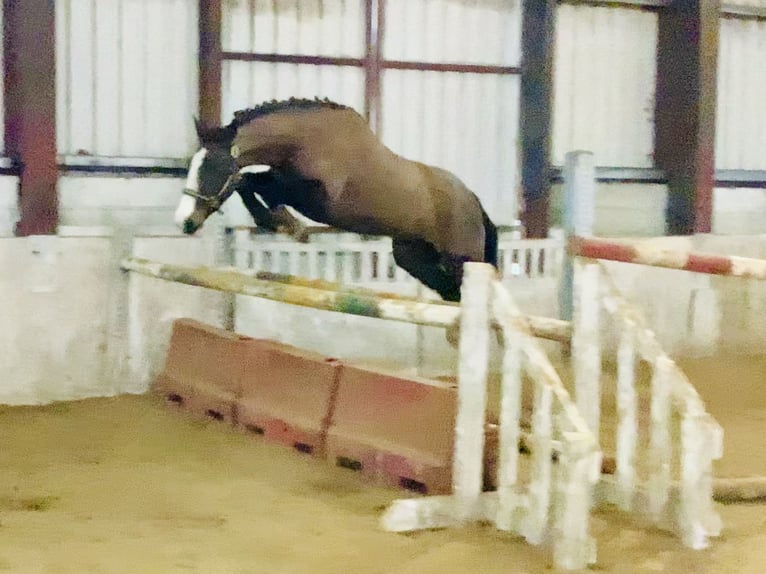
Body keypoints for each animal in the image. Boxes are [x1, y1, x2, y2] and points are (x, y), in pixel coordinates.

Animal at [174, 97, 498, 303]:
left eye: (213, 168)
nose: (183, 222)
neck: (305, 141)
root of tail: (473, 201)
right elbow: (251, 182)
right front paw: (282, 222)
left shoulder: (317, 199)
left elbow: (251, 182)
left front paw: (288, 225)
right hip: (413, 257)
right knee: (451, 294)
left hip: (462, 260)